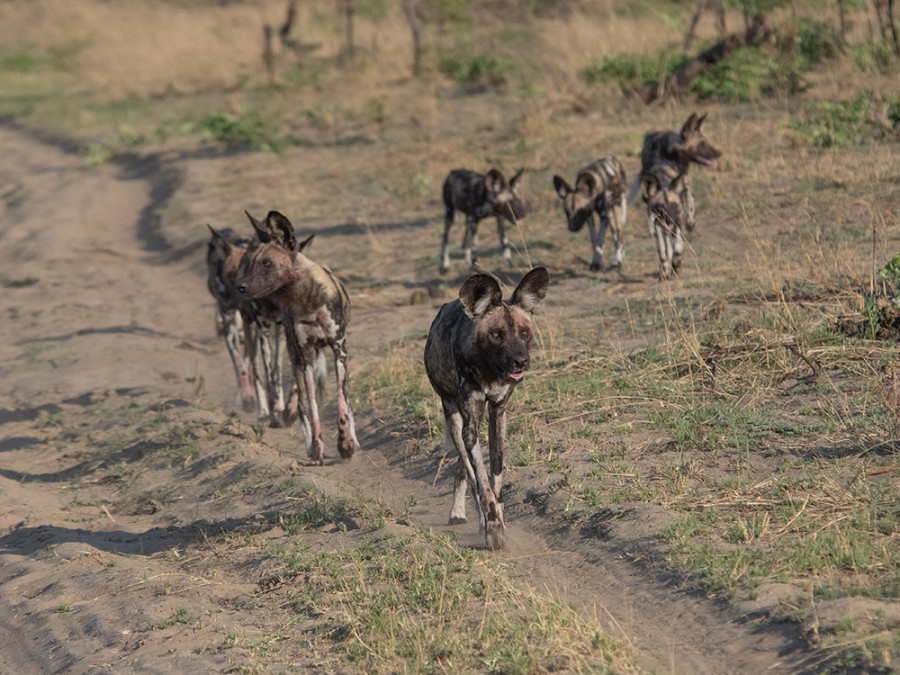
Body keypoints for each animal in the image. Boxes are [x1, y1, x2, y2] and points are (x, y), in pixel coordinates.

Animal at [207, 227, 292, 428]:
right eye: (232, 274)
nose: (242, 289)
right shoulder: (233, 326)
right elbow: (241, 366)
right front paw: (248, 398)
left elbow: (271, 371)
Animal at [236, 211, 358, 464]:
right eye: (251, 263)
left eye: (267, 263)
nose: (239, 286)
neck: (306, 301)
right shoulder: (306, 358)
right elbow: (311, 410)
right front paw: (317, 449)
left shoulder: (339, 351)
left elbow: (343, 402)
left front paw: (346, 444)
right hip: (295, 359)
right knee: (301, 403)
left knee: (345, 401)